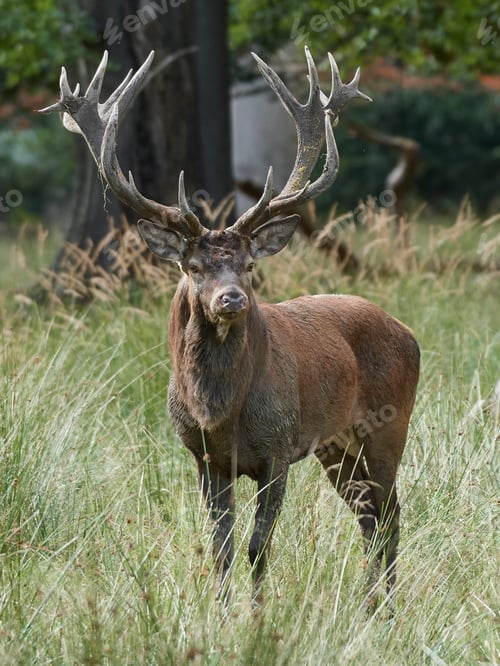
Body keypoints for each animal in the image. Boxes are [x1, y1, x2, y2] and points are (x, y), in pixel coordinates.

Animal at [41, 47, 420, 608]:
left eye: (248, 264)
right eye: (193, 267)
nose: (231, 299)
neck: (219, 412)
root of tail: (407, 332)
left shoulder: (278, 448)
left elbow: (258, 546)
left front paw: (258, 616)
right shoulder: (204, 457)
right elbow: (220, 547)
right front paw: (219, 614)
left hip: (389, 423)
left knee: (391, 513)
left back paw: (388, 607)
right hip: (335, 446)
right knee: (370, 516)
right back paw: (370, 604)